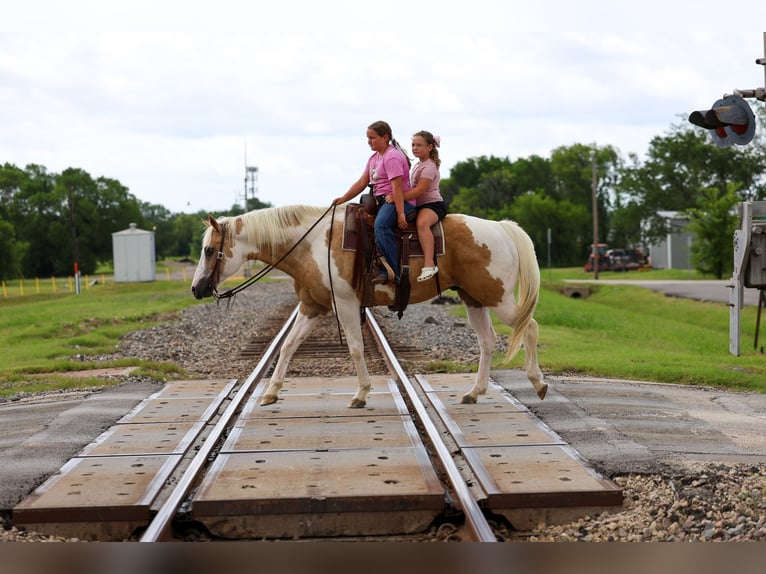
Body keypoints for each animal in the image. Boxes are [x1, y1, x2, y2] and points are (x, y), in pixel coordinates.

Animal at [191, 204, 547, 408]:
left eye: (208, 250)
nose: (196, 289)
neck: (311, 244)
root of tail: (500, 227)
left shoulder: (346, 304)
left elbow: (356, 348)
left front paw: (361, 394)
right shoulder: (312, 306)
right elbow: (288, 346)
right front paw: (271, 392)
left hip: (498, 298)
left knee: (529, 327)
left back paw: (538, 382)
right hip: (475, 299)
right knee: (487, 341)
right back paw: (475, 392)